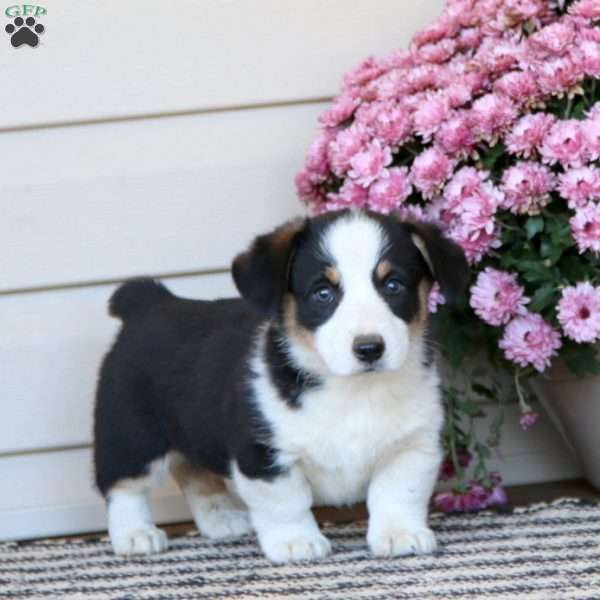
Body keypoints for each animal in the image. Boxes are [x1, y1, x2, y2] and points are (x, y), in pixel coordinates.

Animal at [95, 210, 468, 564]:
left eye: (393, 286)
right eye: (323, 293)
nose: (369, 349)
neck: (353, 389)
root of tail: (148, 302)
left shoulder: (411, 447)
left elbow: (397, 495)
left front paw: (399, 535)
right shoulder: (264, 455)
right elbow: (286, 503)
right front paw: (296, 543)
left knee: (194, 471)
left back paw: (221, 519)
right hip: (132, 437)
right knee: (124, 486)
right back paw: (135, 535)